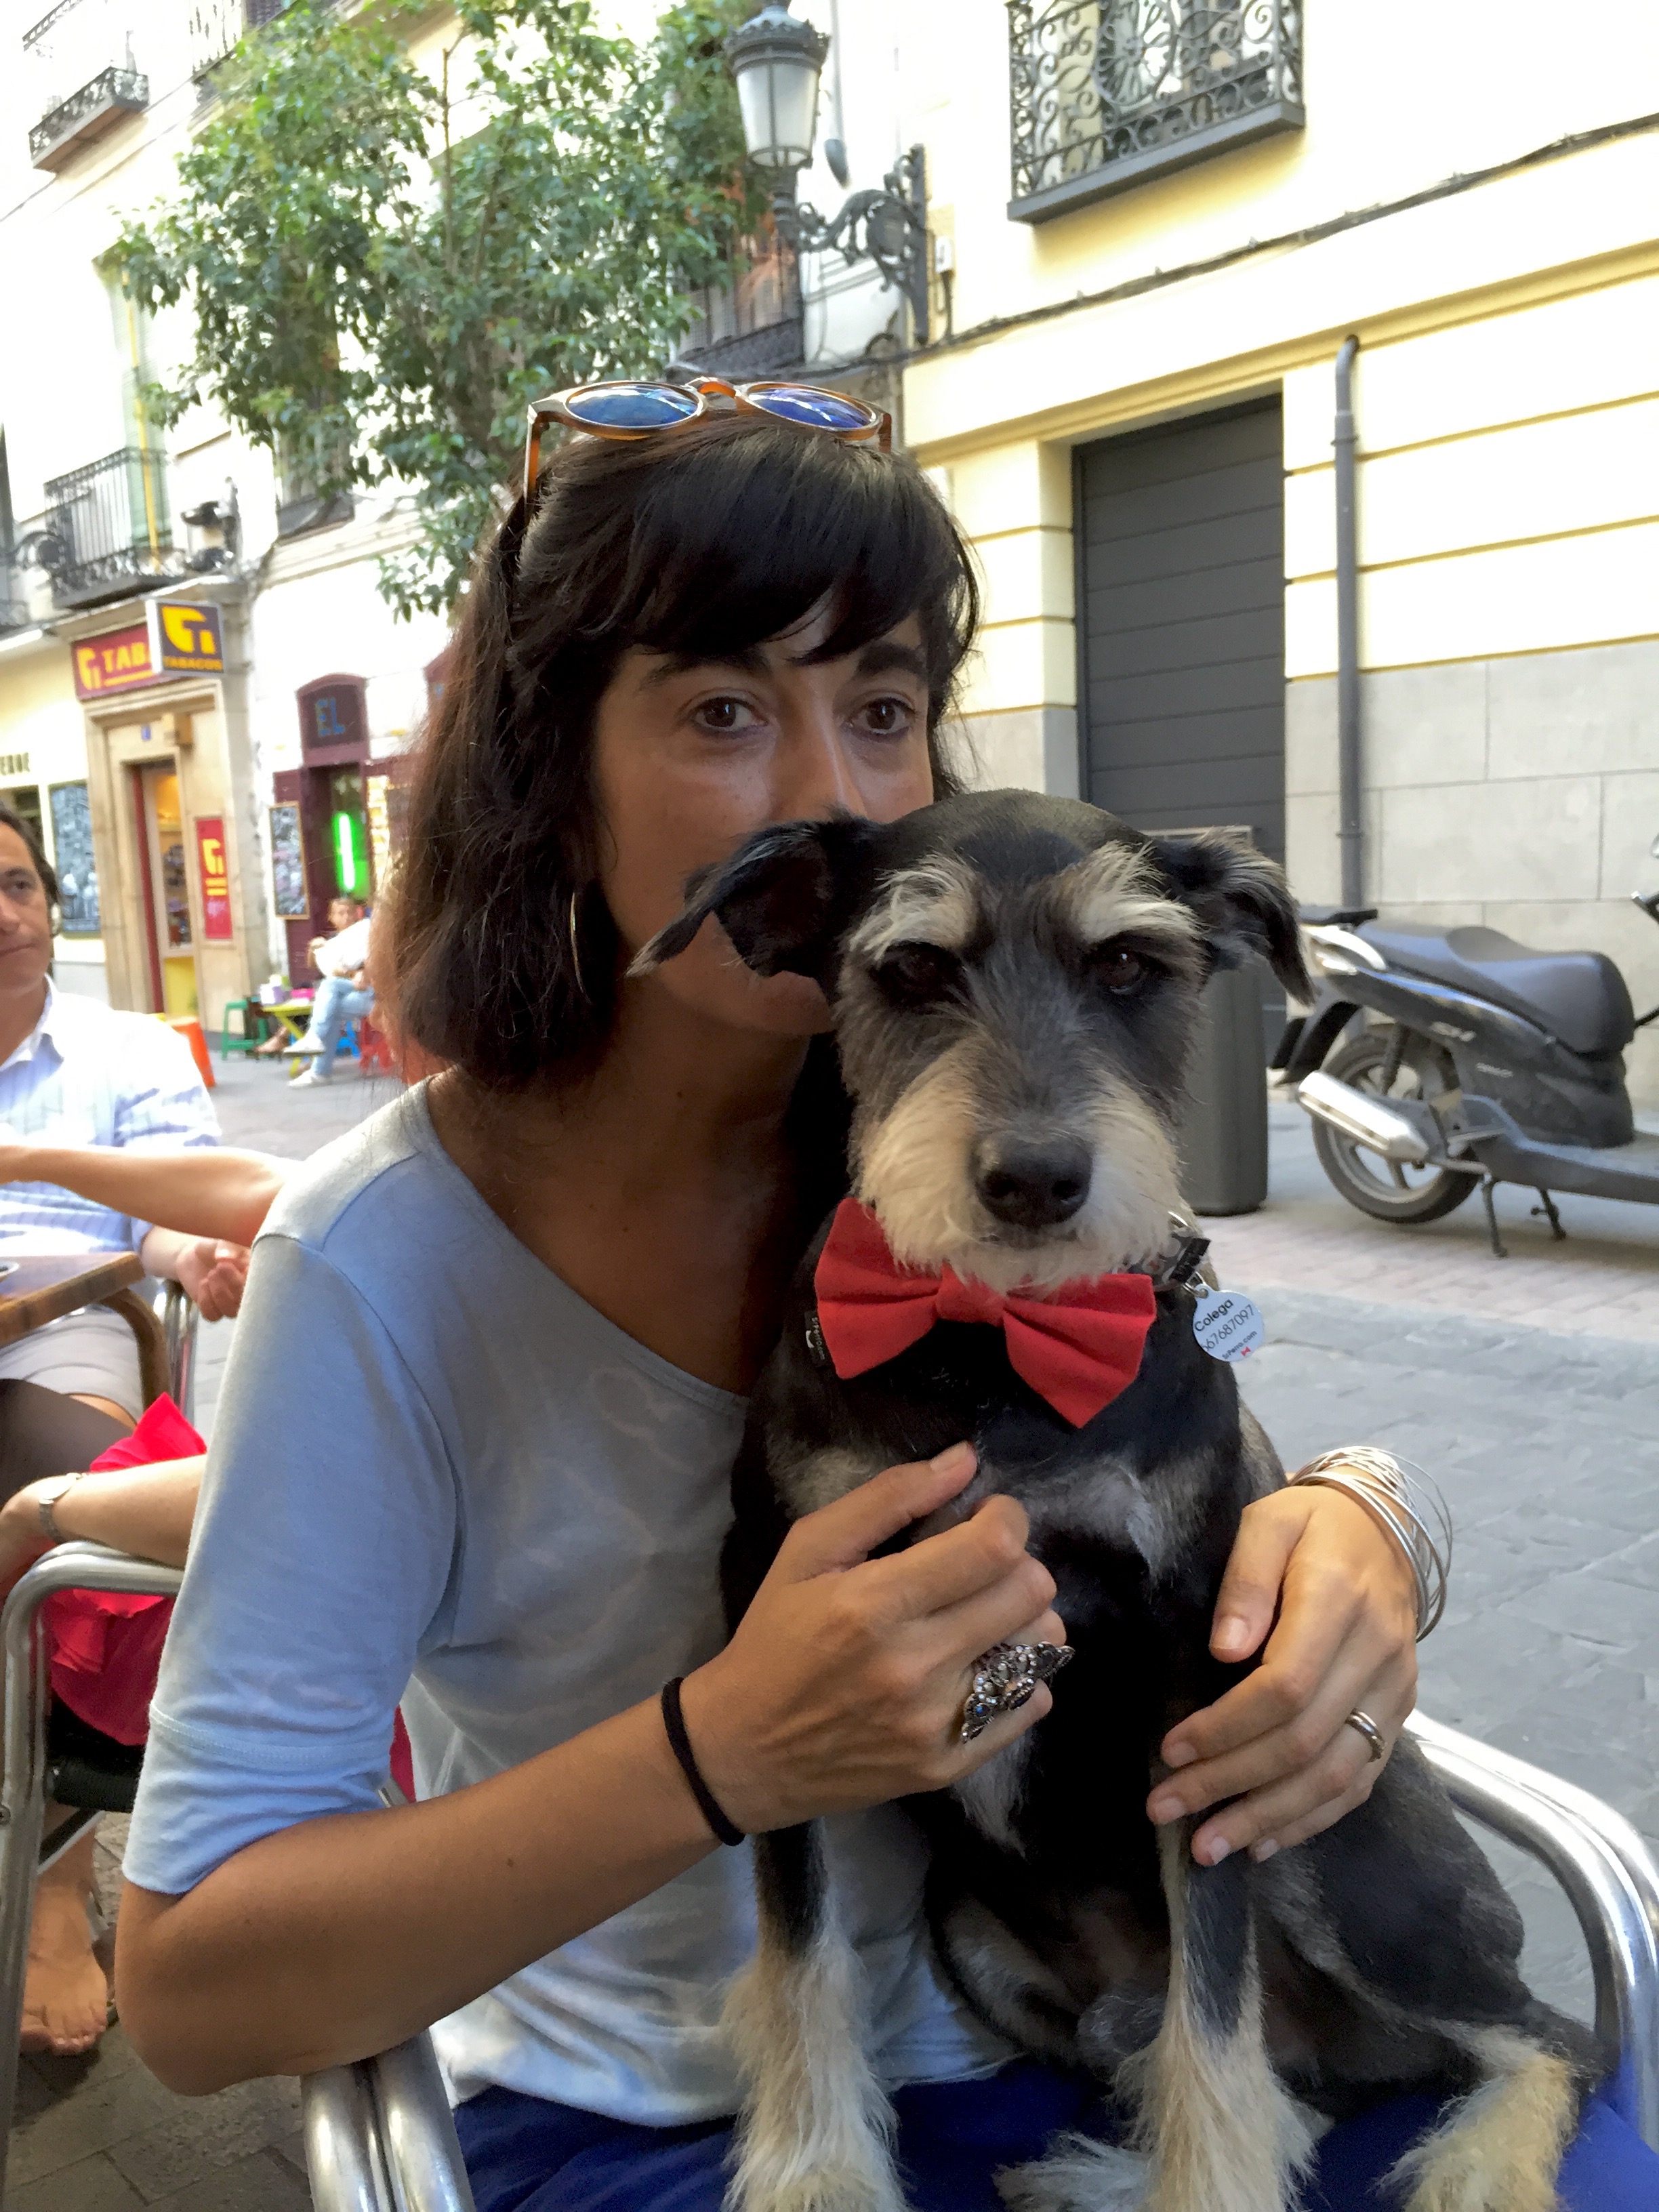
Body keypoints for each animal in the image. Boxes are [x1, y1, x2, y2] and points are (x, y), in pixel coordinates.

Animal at [637, 790, 1598, 2212]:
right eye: (910, 967)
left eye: (1131, 965)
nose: (1034, 1179)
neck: (991, 1348)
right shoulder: (785, 1630)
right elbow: (798, 1946)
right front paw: (816, 2170)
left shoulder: (1190, 1665)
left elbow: (1213, 1997)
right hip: (979, 1935)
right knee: (1271, 2076)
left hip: (1337, 1853)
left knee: (1532, 2034)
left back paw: (1474, 2162)